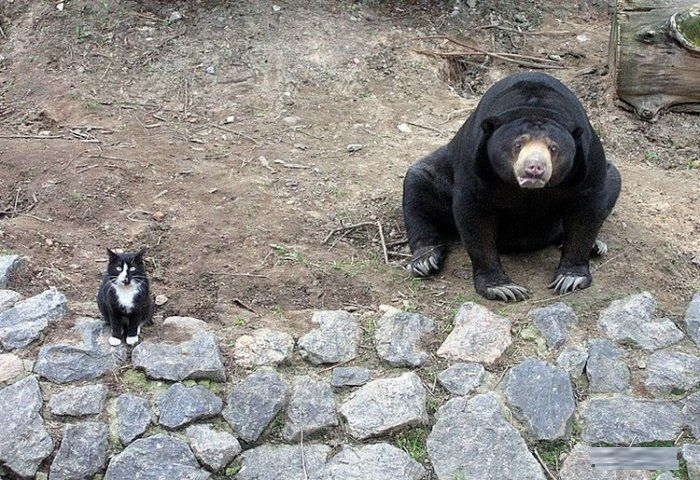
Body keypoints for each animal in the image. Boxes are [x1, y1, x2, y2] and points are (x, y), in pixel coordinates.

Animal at [402, 72, 621, 302]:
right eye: (518, 144)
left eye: (553, 148)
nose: (534, 168)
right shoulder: (475, 163)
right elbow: (474, 215)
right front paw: (502, 287)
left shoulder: (587, 164)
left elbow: (587, 209)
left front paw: (570, 278)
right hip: (439, 175)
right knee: (418, 183)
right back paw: (425, 260)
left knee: (612, 179)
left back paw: (596, 246)